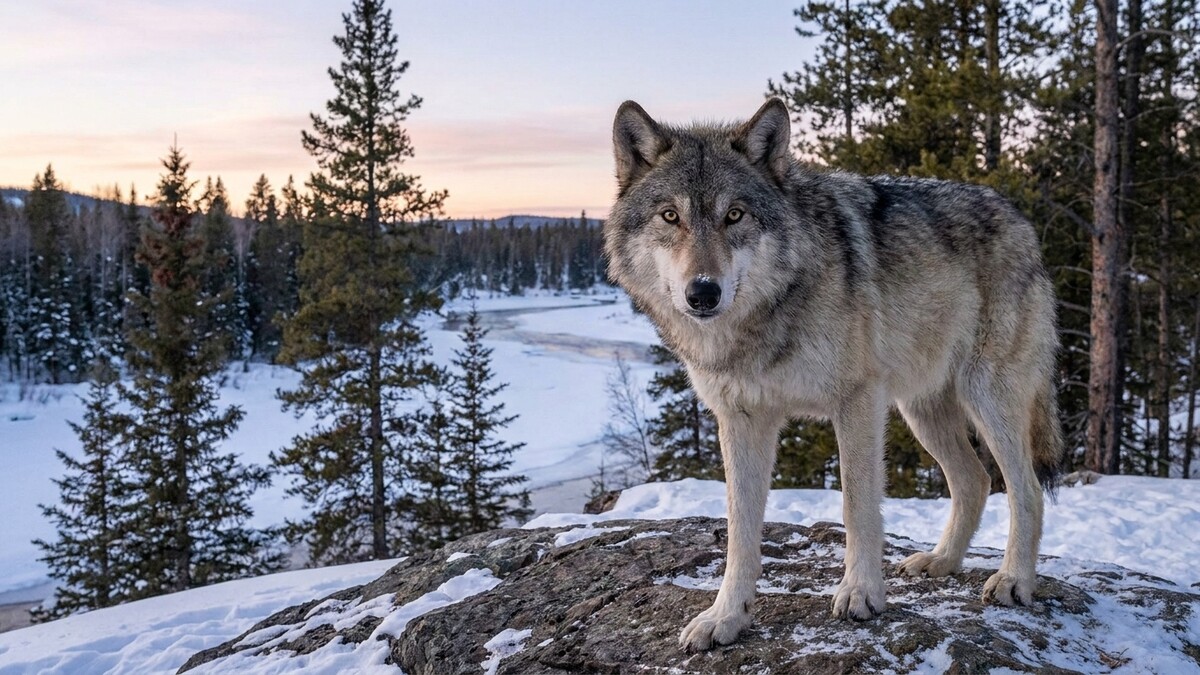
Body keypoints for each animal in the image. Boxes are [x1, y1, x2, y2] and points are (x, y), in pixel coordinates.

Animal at [603, 98, 1063, 651]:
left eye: (734, 215)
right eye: (670, 216)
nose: (703, 293)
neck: (766, 317)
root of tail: (1021, 219)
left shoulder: (858, 402)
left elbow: (857, 506)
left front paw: (861, 593)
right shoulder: (742, 419)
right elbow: (740, 530)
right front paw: (726, 616)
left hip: (986, 398)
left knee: (1025, 488)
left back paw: (1014, 580)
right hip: (921, 410)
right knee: (974, 480)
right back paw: (941, 561)